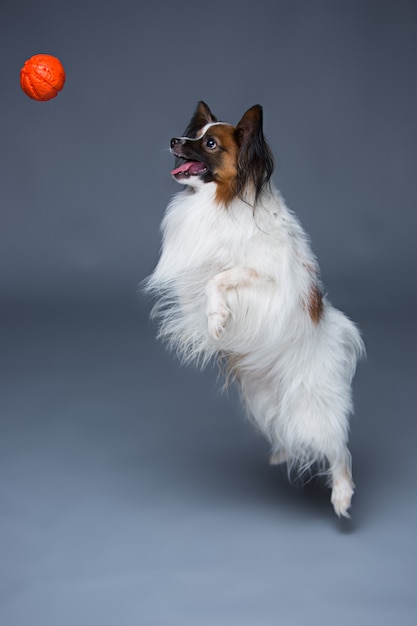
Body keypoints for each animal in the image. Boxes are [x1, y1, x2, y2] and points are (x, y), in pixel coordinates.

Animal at [144, 100, 364, 516]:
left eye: (210, 144)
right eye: (195, 135)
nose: (174, 140)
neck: (224, 201)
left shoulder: (267, 282)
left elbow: (222, 277)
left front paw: (217, 318)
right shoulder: (194, 276)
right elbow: (207, 279)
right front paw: (212, 318)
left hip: (312, 406)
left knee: (338, 449)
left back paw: (342, 494)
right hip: (267, 401)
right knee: (288, 431)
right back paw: (282, 453)